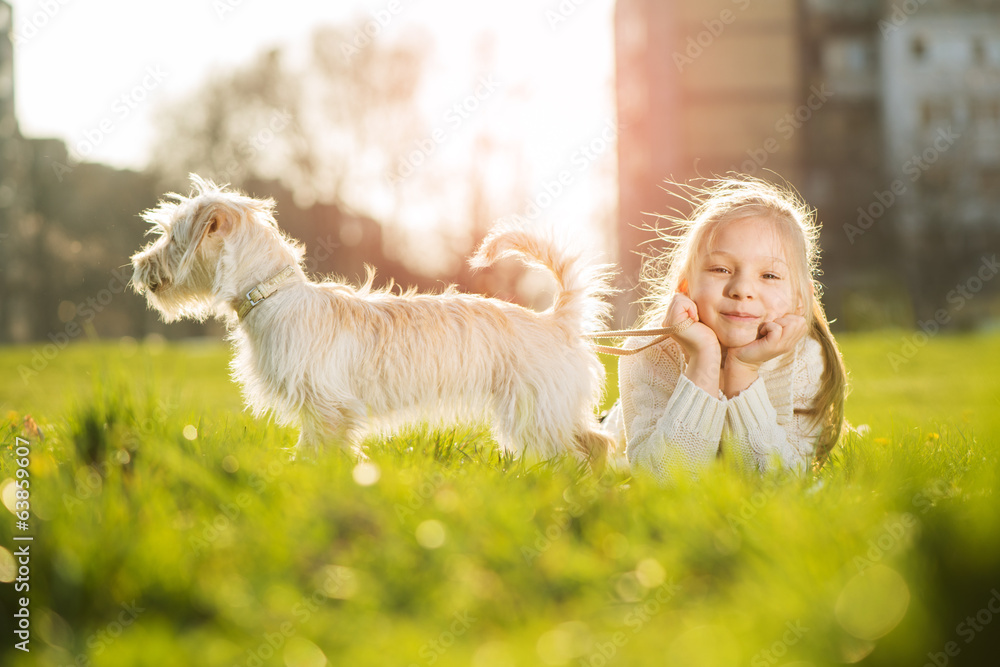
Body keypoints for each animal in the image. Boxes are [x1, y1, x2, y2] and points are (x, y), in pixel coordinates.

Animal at [129, 179, 612, 470]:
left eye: (171, 237)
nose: (137, 265)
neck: (274, 296)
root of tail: (556, 319)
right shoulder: (322, 410)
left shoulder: (327, 408)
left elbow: (319, 452)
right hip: (552, 412)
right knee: (595, 443)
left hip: (536, 413)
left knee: (577, 452)